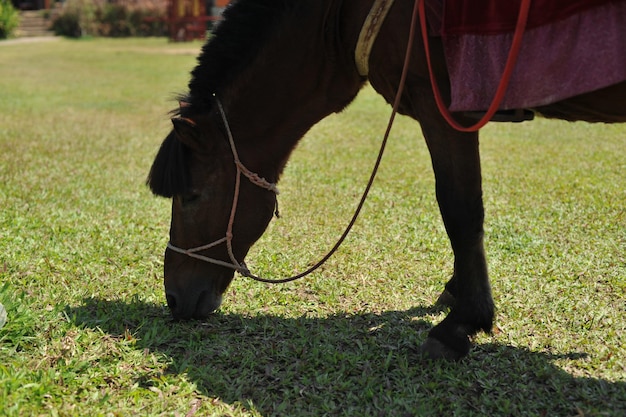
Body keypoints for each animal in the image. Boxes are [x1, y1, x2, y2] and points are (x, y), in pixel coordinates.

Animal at [147, 0, 624, 360]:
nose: (173, 299)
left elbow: (459, 208)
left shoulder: (439, 105)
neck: (342, 12)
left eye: (191, 196)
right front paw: (456, 293)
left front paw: (461, 324)